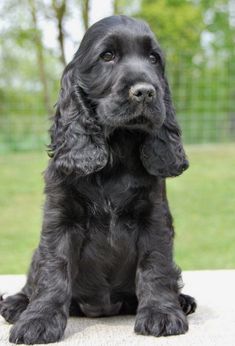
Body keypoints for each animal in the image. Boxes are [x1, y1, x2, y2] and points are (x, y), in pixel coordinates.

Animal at [0, 15, 196, 344]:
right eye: (108, 56)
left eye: (154, 59)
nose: (146, 91)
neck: (115, 150)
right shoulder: (60, 219)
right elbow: (53, 269)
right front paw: (38, 320)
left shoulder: (154, 216)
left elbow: (155, 265)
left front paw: (161, 313)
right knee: (32, 279)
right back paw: (16, 304)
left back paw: (183, 301)